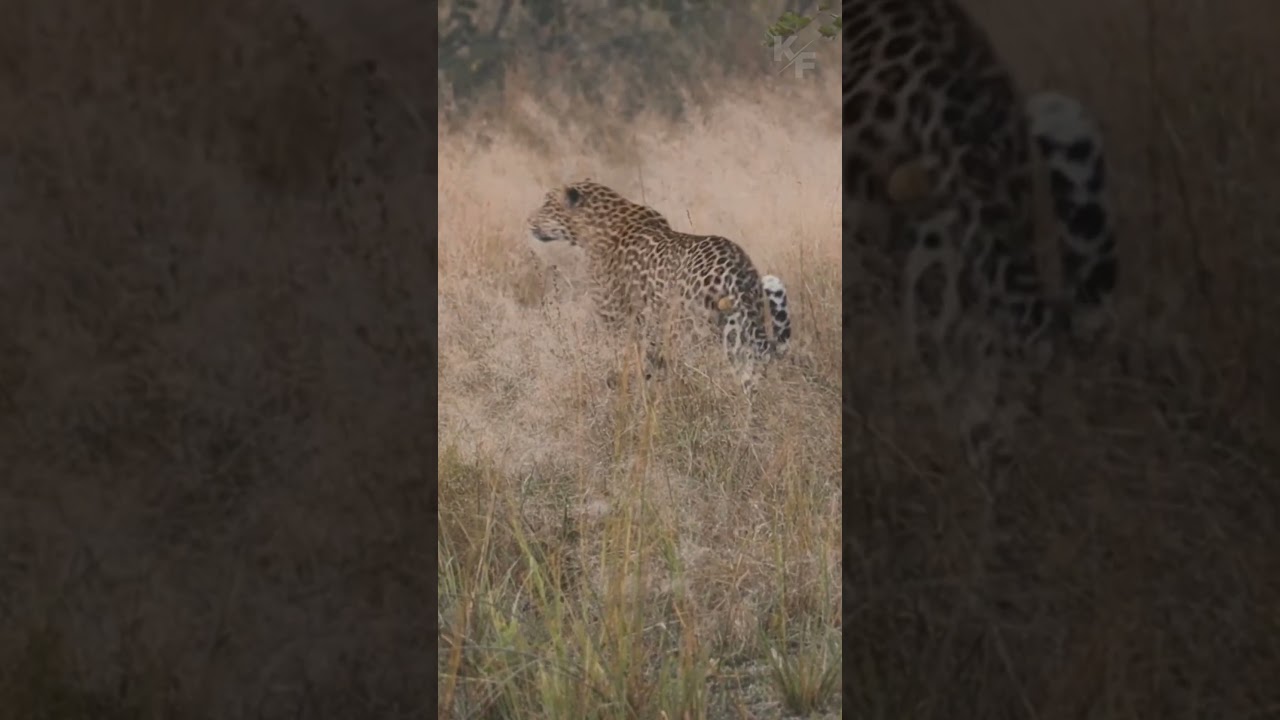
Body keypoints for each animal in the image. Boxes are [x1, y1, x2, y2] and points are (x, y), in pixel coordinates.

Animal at [527, 180, 792, 395]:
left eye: (547, 204)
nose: (529, 221)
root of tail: (736, 270)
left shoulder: (618, 322)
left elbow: (624, 363)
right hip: (740, 330)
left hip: (695, 334)